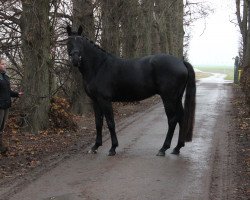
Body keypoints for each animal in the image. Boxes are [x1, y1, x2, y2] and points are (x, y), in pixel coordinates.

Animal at [66, 25, 195, 156]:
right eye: (68, 42)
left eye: (81, 42)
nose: (75, 59)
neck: (98, 67)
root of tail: (181, 62)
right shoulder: (95, 101)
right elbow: (98, 123)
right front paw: (95, 146)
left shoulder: (104, 100)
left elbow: (110, 123)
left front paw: (113, 148)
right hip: (177, 97)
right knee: (181, 118)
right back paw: (177, 148)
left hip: (169, 98)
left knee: (172, 120)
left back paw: (163, 149)